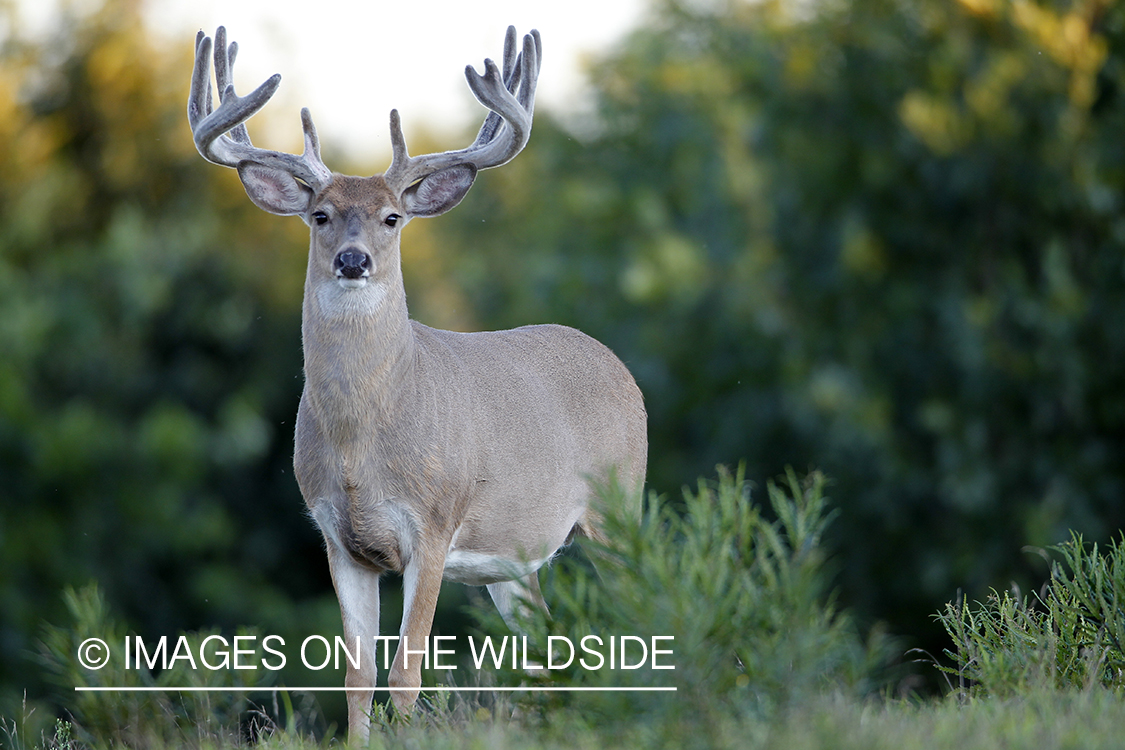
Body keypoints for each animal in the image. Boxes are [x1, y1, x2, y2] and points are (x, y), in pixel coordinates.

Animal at [187, 26, 648, 742]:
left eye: (392, 218)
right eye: (321, 215)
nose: (353, 261)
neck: (363, 442)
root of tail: (621, 369)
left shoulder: (433, 524)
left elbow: (407, 673)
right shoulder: (337, 537)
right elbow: (357, 676)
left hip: (617, 504)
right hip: (512, 558)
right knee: (543, 650)